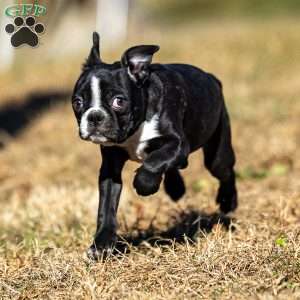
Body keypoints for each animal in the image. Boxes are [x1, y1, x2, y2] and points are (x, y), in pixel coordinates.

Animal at [71, 32, 238, 258]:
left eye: (119, 101)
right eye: (77, 102)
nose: (95, 116)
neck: (136, 127)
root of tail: (212, 77)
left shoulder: (178, 144)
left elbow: (154, 161)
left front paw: (145, 185)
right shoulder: (110, 169)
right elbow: (106, 208)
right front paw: (102, 245)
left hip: (217, 152)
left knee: (225, 171)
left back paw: (228, 201)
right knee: (177, 166)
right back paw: (176, 188)